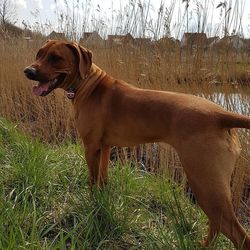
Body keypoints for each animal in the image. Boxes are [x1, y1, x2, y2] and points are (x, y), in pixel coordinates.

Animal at [23, 40, 250, 249]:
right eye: (39, 54)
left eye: (56, 58)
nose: (28, 71)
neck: (88, 84)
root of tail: (220, 116)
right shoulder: (105, 147)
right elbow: (103, 179)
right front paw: (101, 202)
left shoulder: (90, 146)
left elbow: (92, 181)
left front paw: (91, 202)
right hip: (213, 187)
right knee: (216, 225)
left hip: (204, 183)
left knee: (237, 234)